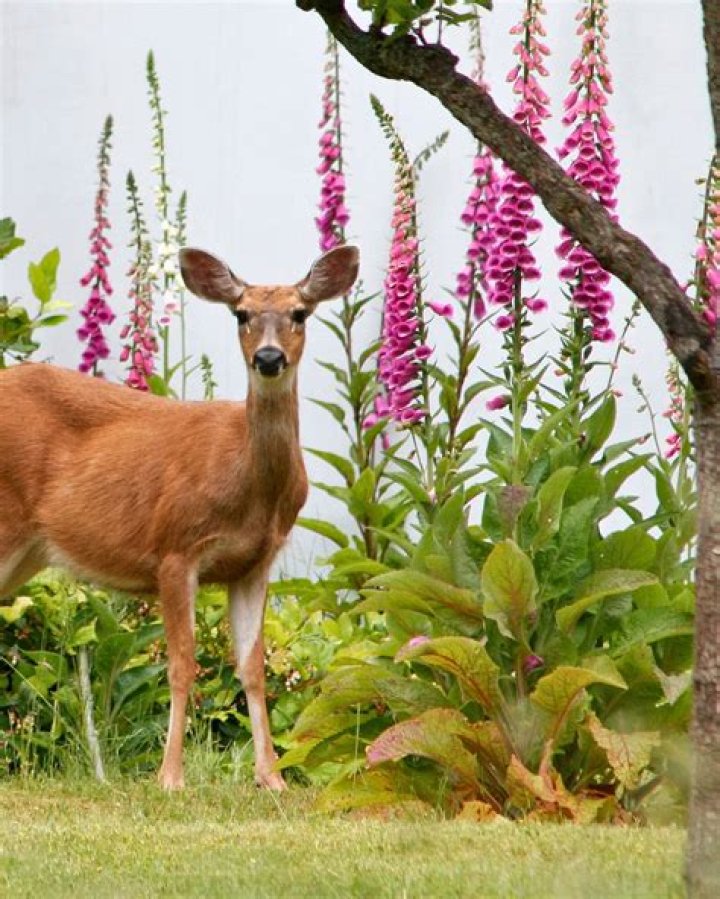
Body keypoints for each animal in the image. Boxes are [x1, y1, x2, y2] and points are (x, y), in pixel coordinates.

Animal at [0, 243, 359, 790]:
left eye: (300, 313)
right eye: (241, 313)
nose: (268, 358)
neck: (250, 486)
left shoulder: (255, 563)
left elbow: (253, 667)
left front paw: (271, 778)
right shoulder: (174, 547)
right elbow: (182, 664)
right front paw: (170, 777)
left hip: (27, 552)